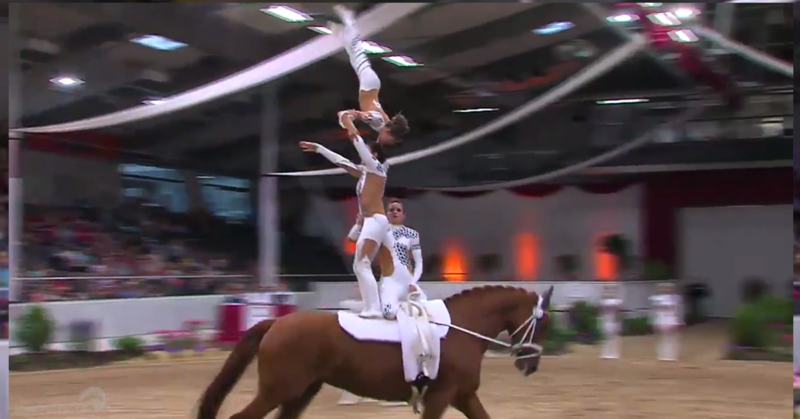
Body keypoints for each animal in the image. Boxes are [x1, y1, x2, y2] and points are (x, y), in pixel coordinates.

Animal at [197, 286, 552, 419]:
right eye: (541, 321)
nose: (531, 365)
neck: (460, 328)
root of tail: (276, 323)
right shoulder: (441, 396)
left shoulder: (463, 395)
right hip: (279, 390)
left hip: (300, 392)